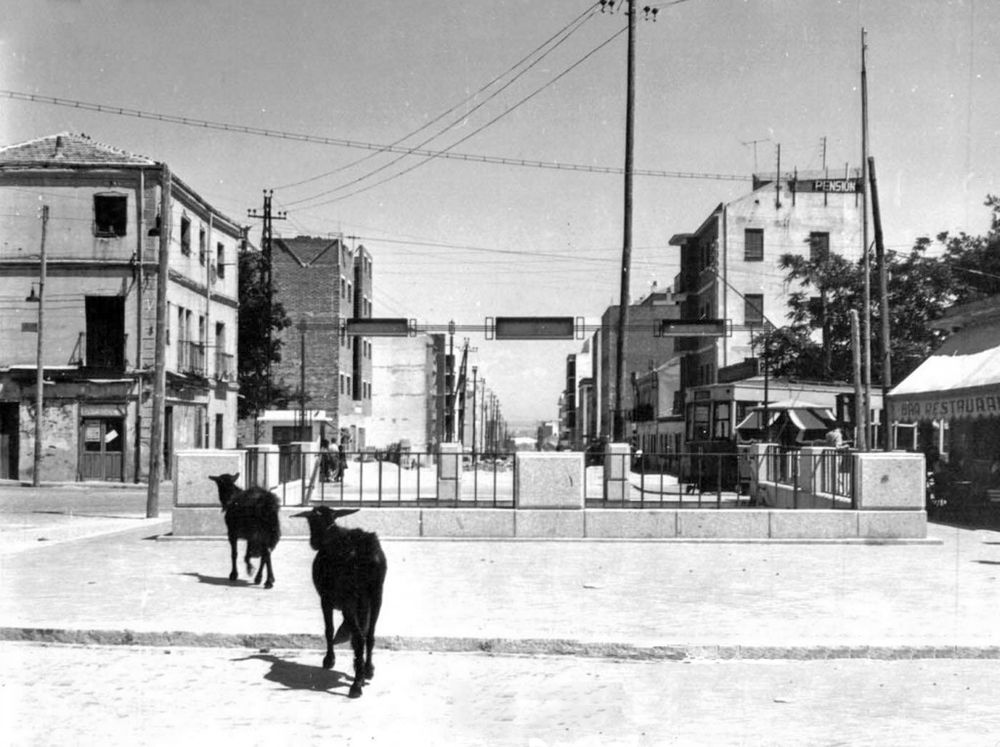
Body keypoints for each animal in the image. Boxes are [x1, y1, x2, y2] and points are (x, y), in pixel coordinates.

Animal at [292, 506, 386, 700]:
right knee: (370, 634)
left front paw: (329, 660)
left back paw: (356, 686)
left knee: (359, 638)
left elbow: (329, 630)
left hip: (351, 598)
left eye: (311, 521)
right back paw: (367, 670)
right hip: (377, 595)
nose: (313, 543)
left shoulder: (326, 599)